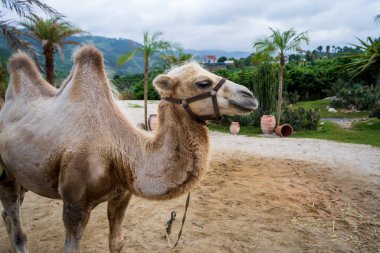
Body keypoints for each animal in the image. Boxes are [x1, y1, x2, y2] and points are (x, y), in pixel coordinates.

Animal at [0, 46, 258, 253]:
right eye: (202, 82)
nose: (250, 95)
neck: (122, 151)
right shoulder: (74, 203)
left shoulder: (121, 195)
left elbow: (117, 242)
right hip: (7, 173)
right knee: (18, 226)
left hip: (25, 176)